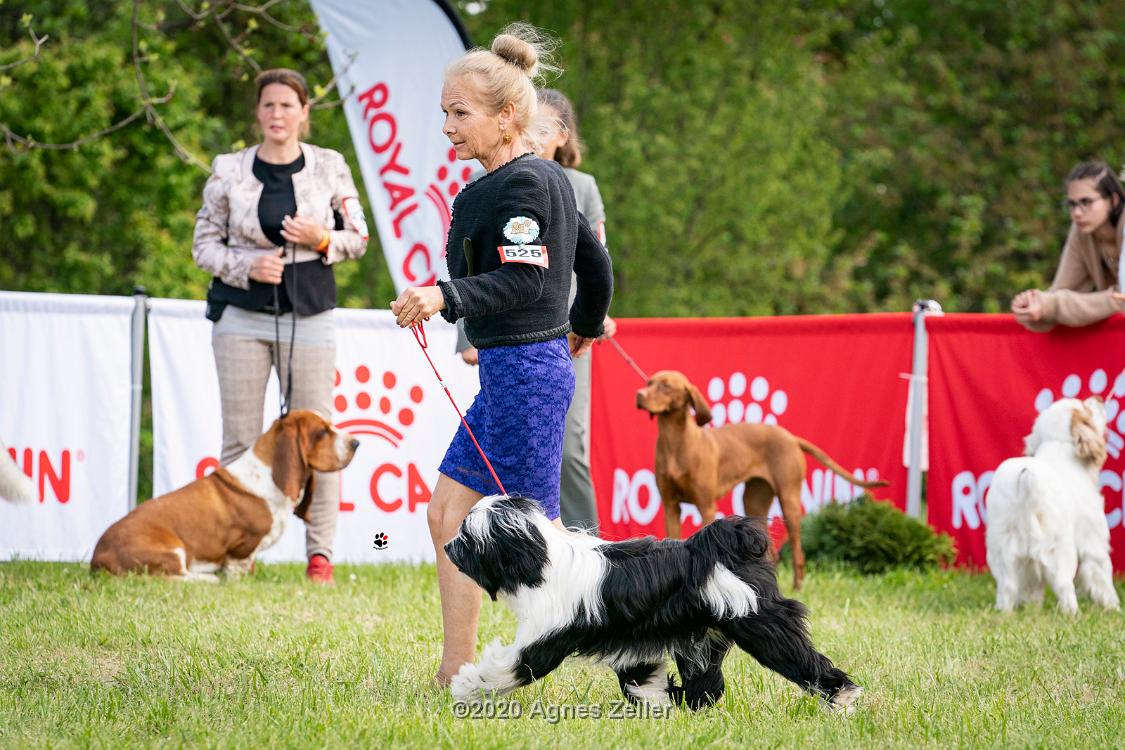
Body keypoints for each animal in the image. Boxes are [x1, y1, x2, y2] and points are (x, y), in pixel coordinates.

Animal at [91, 411, 355, 580]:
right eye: (321, 432)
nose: (356, 443)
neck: (265, 475)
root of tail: (97, 559)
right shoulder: (243, 545)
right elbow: (237, 566)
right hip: (173, 551)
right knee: (175, 577)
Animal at [441, 494, 859, 715]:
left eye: (466, 536)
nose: (445, 547)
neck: (542, 560)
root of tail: (721, 545)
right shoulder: (633, 644)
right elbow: (640, 676)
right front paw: (655, 704)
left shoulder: (545, 638)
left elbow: (510, 668)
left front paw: (465, 687)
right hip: (703, 637)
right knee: (708, 683)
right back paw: (688, 705)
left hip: (760, 623)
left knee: (802, 659)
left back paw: (841, 698)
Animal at [634, 373, 886, 589]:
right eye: (649, 383)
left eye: (666, 386)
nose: (639, 395)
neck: (676, 443)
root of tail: (791, 437)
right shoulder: (670, 506)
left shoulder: (706, 506)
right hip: (754, 502)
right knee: (770, 551)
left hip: (789, 500)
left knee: (797, 549)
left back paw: (797, 586)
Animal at [990, 395, 1120, 611]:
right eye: (1086, 410)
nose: (1099, 398)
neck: (1057, 446)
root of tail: (1027, 477)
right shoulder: (1094, 544)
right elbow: (1102, 580)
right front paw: (1113, 609)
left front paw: (1033, 610)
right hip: (1061, 551)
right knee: (1063, 586)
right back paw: (1074, 614)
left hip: (1003, 553)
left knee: (1007, 588)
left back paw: (1006, 613)